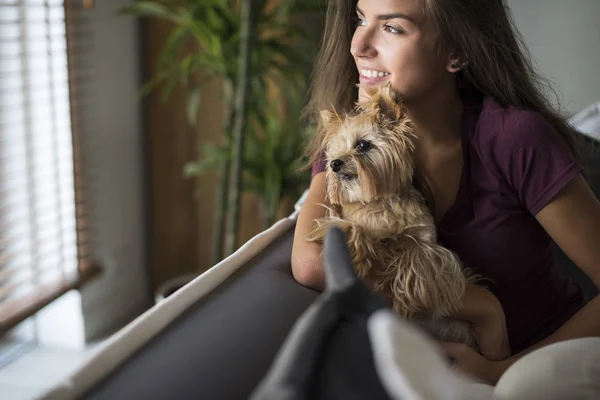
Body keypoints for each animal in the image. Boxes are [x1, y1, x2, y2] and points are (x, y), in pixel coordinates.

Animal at [308, 85, 486, 356]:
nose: (335, 164)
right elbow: (350, 226)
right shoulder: (344, 219)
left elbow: (417, 255)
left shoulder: (429, 244)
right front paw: (354, 247)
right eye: (334, 151)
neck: (380, 202)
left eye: (363, 144)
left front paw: (409, 298)